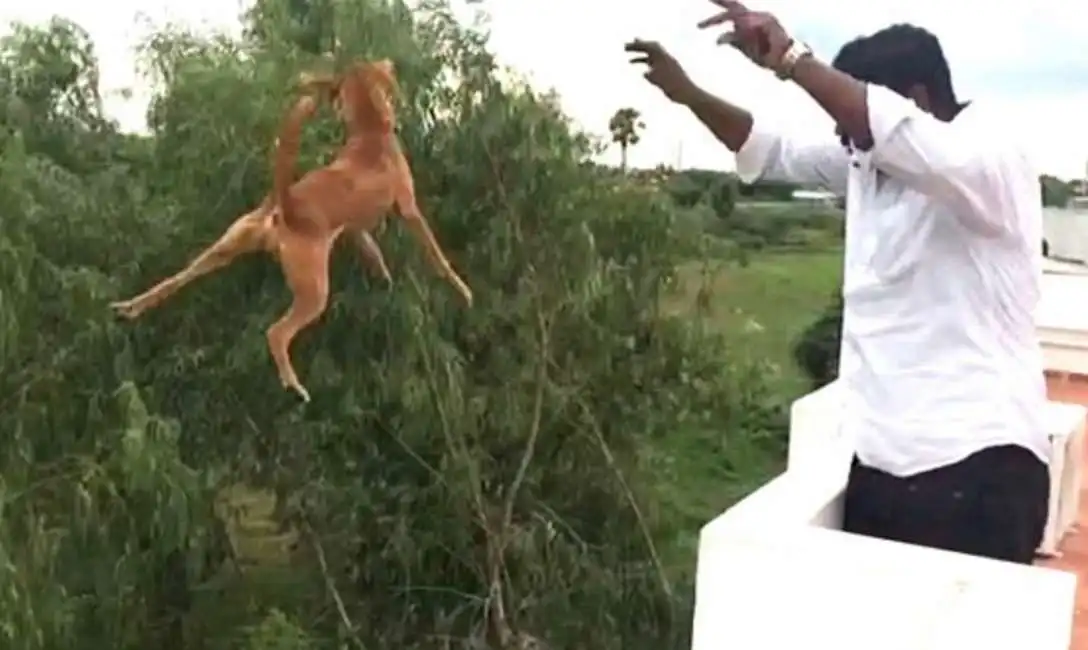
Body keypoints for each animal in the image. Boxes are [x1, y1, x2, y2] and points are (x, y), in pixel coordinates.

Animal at [110, 58, 476, 400]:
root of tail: (283, 205)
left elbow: (371, 249)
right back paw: (294, 386)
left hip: (225, 247)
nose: (390, 66)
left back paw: (130, 307)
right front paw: (462, 290)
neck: (370, 132)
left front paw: (383, 275)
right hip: (313, 290)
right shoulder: (409, 208)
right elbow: (437, 257)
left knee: (176, 279)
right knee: (277, 333)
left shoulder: (353, 228)